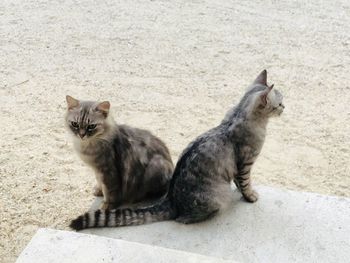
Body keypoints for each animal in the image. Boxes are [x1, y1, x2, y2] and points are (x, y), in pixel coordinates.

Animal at [69, 70, 284, 231]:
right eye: (279, 104)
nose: (285, 107)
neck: (239, 114)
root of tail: (170, 199)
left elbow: (241, 184)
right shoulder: (245, 163)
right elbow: (245, 184)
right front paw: (251, 196)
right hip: (218, 197)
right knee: (183, 218)